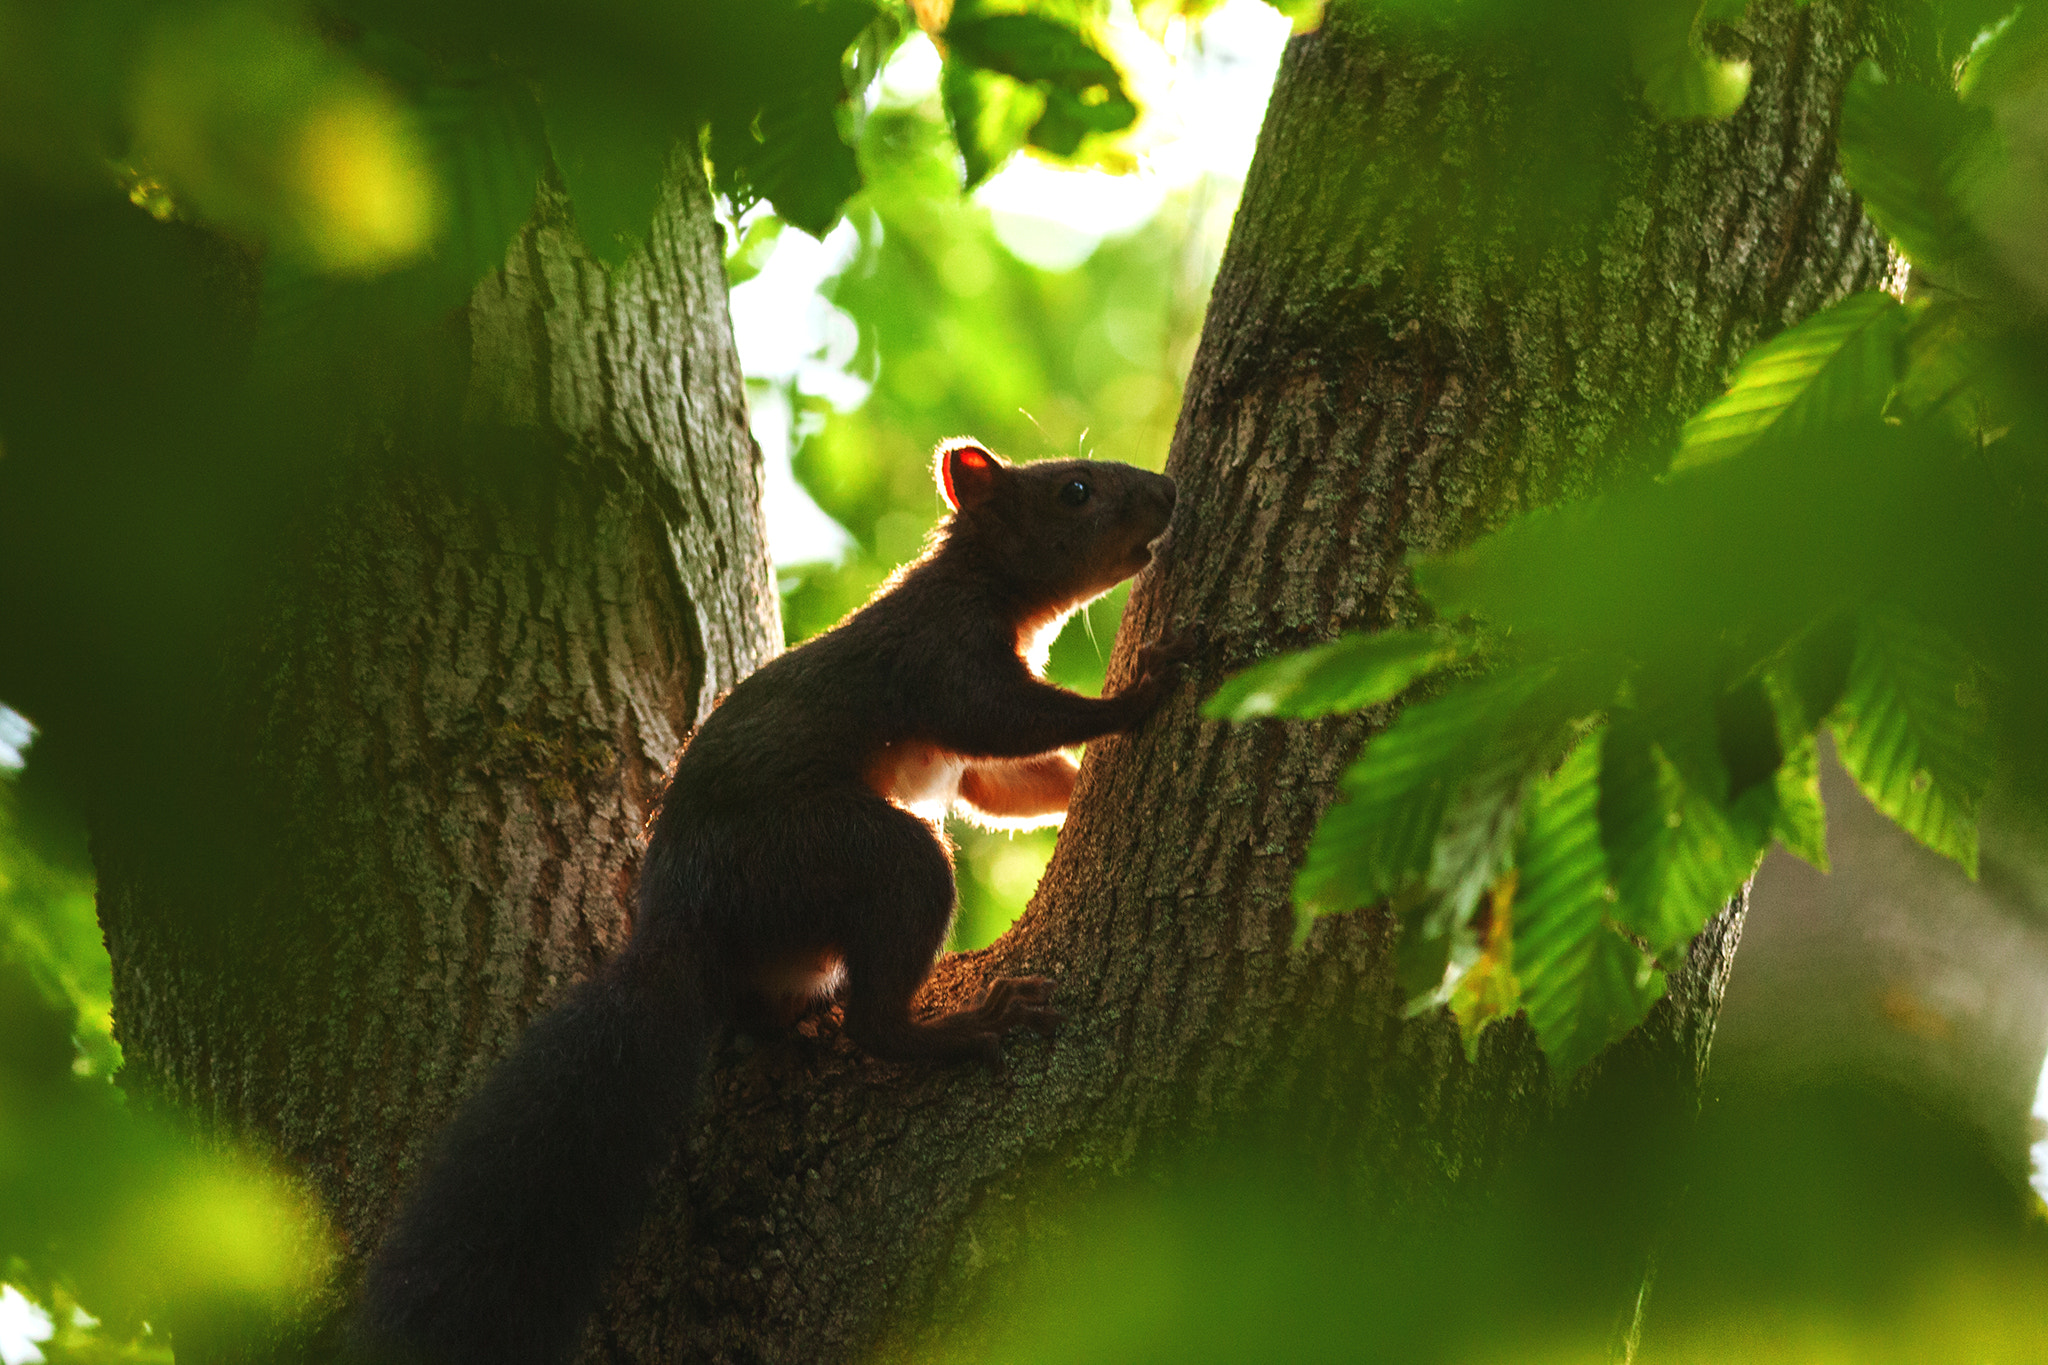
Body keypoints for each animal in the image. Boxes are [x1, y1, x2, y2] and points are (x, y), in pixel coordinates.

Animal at [351, 439, 1191, 1365]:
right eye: (1075, 490)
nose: (1167, 491)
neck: (980, 580)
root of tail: (679, 919)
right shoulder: (939, 654)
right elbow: (1006, 721)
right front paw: (1139, 692)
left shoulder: (964, 739)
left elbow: (1003, 784)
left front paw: (1076, 789)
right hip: (835, 854)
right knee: (877, 1011)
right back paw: (964, 1025)